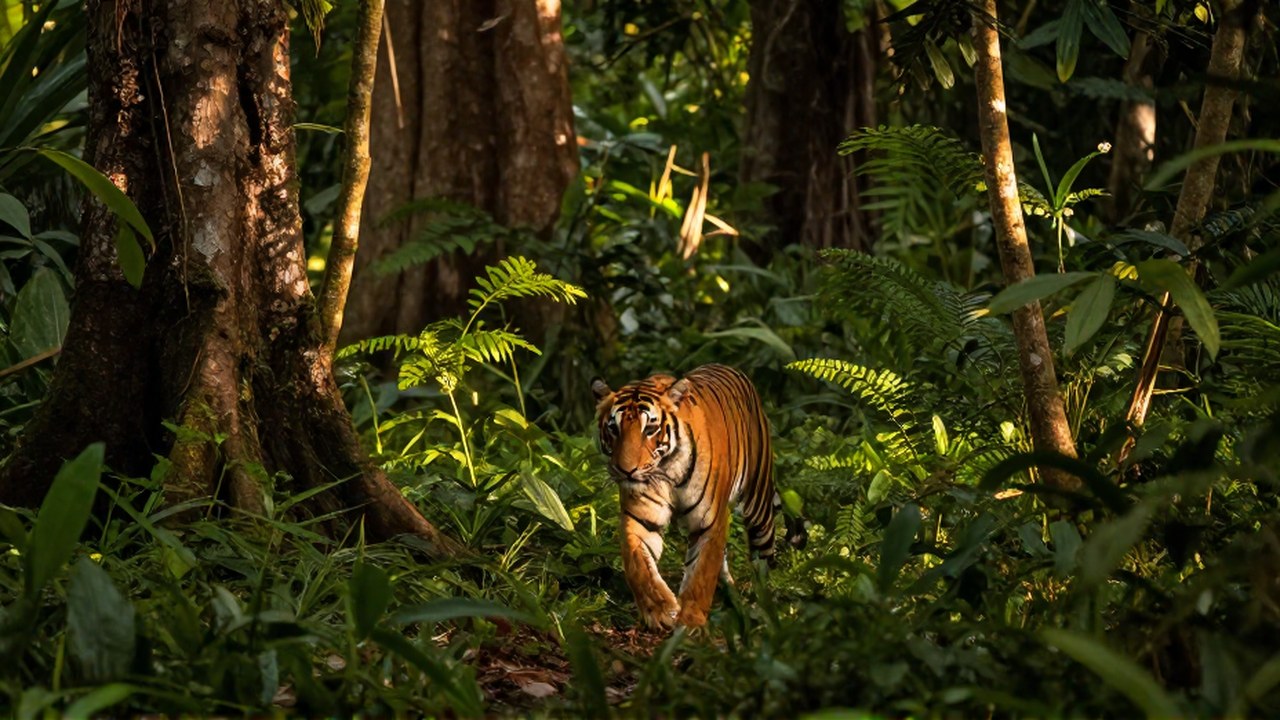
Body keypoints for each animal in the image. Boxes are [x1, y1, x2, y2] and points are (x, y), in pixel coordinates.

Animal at [592, 363, 805, 629]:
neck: (667, 471)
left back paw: (761, 606)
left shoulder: (710, 521)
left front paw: (690, 622)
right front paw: (660, 611)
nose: (626, 470)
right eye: (613, 428)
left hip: (759, 504)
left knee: (763, 559)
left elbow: (701, 574)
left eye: (649, 429)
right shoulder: (640, 517)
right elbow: (638, 565)